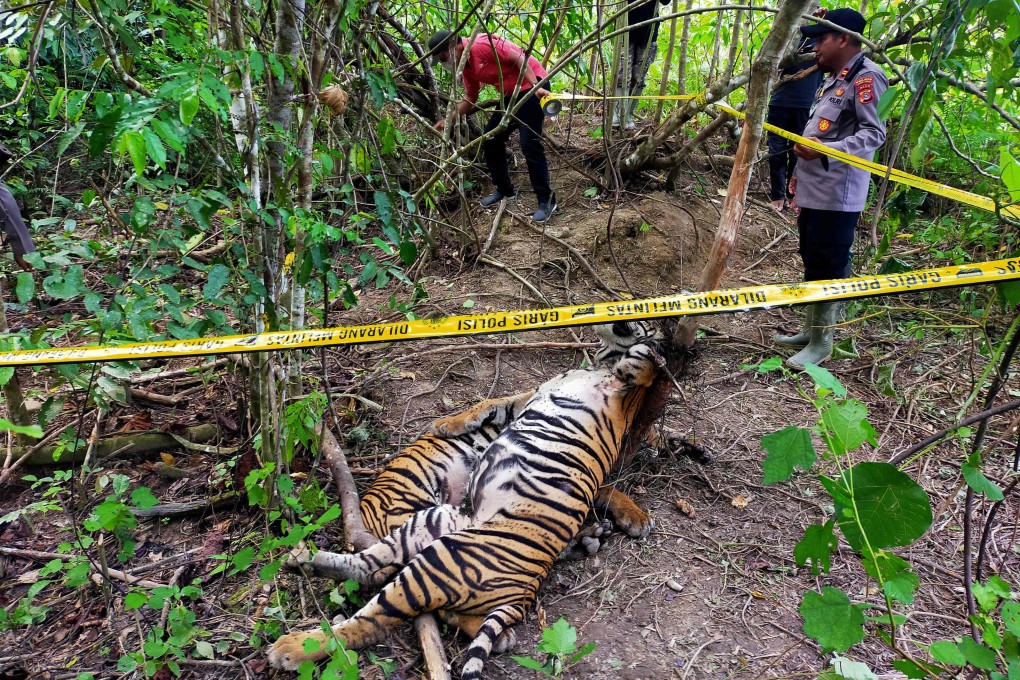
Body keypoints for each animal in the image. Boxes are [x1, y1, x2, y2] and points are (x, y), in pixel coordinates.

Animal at [268, 321, 663, 678]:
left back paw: (293, 635)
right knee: (374, 575)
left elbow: (643, 370)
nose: (657, 446)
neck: (601, 364)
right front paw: (447, 424)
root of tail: (526, 589)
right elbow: (491, 403)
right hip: (431, 521)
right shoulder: (534, 394)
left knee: (375, 605)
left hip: (437, 551)